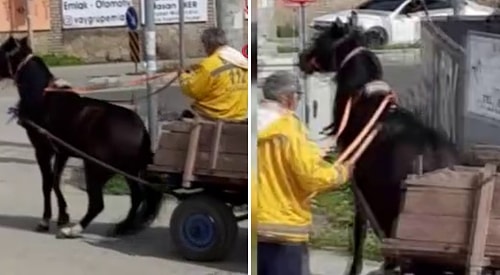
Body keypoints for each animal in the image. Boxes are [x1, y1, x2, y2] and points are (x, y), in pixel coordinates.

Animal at [0, 36, 163, 239]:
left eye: (0, 51)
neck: (42, 96)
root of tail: (141, 130)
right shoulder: (62, 152)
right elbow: (56, 181)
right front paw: (63, 215)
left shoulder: (42, 150)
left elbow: (47, 183)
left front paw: (46, 220)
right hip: (129, 171)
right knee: (137, 197)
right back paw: (122, 227)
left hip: (94, 167)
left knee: (97, 203)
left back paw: (74, 229)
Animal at [296, 18, 460, 275]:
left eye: (319, 39)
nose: (301, 57)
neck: (361, 101)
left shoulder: (358, 186)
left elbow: (360, 229)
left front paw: (356, 267)